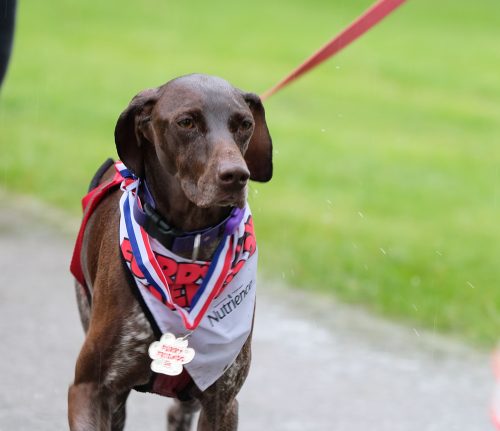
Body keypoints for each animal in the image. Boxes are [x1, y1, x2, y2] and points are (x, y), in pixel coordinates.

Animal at [68, 75, 272, 431]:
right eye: (186, 122)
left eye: (245, 124)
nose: (236, 175)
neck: (187, 251)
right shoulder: (89, 389)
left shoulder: (223, 402)